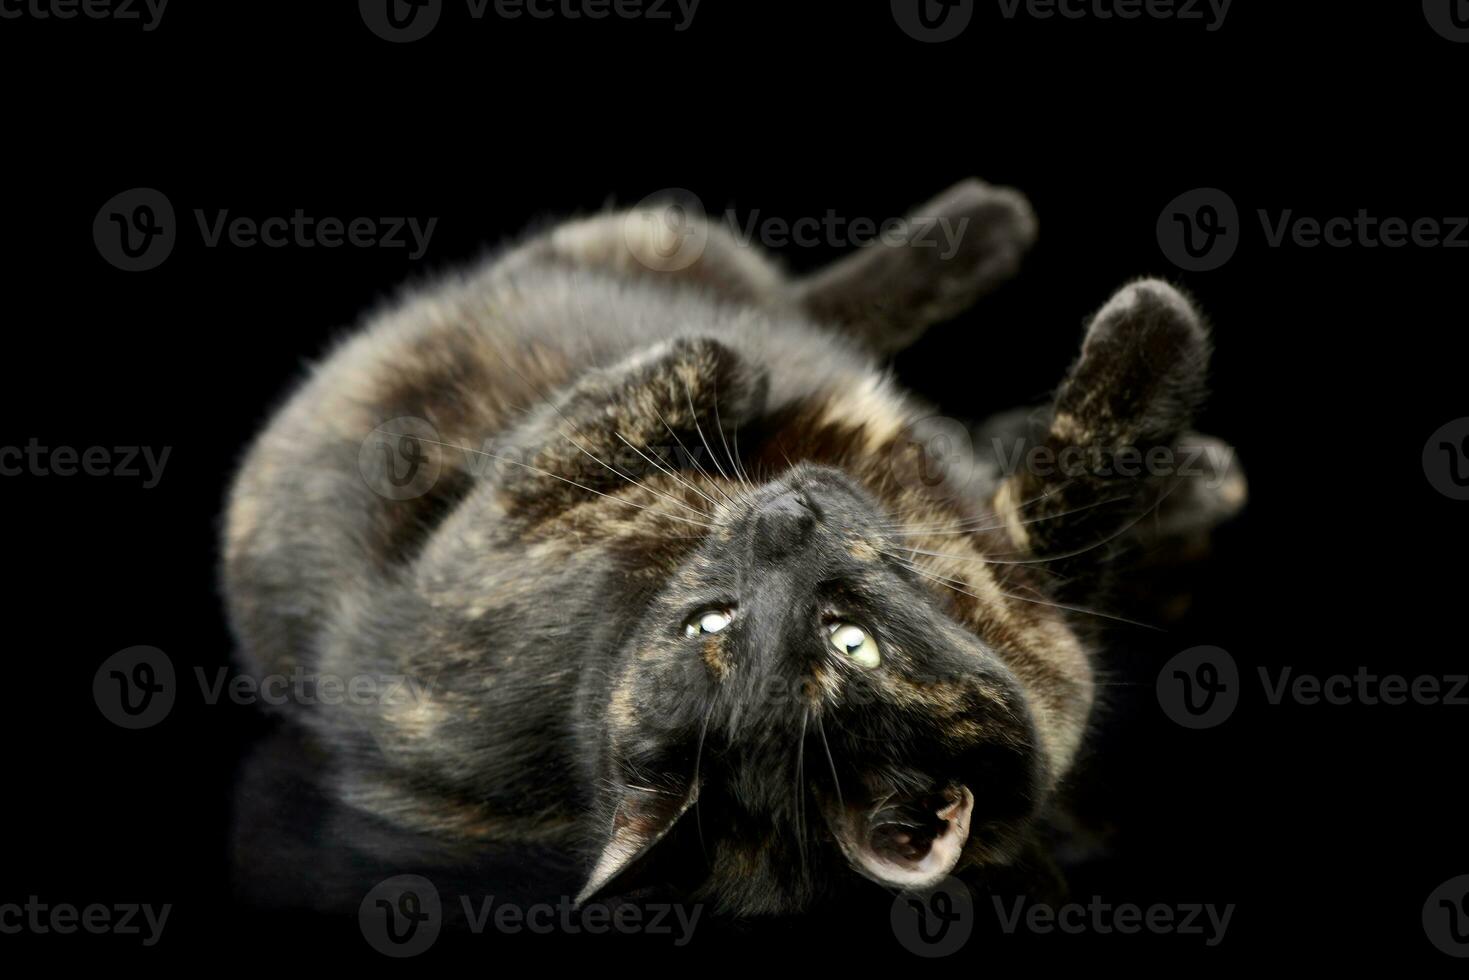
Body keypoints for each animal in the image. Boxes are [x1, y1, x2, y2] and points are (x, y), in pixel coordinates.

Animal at [223, 178, 1245, 922]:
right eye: (710, 623)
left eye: (848, 642)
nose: (781, 524)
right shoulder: (483, 546)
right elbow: (1085, 460)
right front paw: (1154, 322)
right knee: (774, 307)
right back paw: (988, 223)